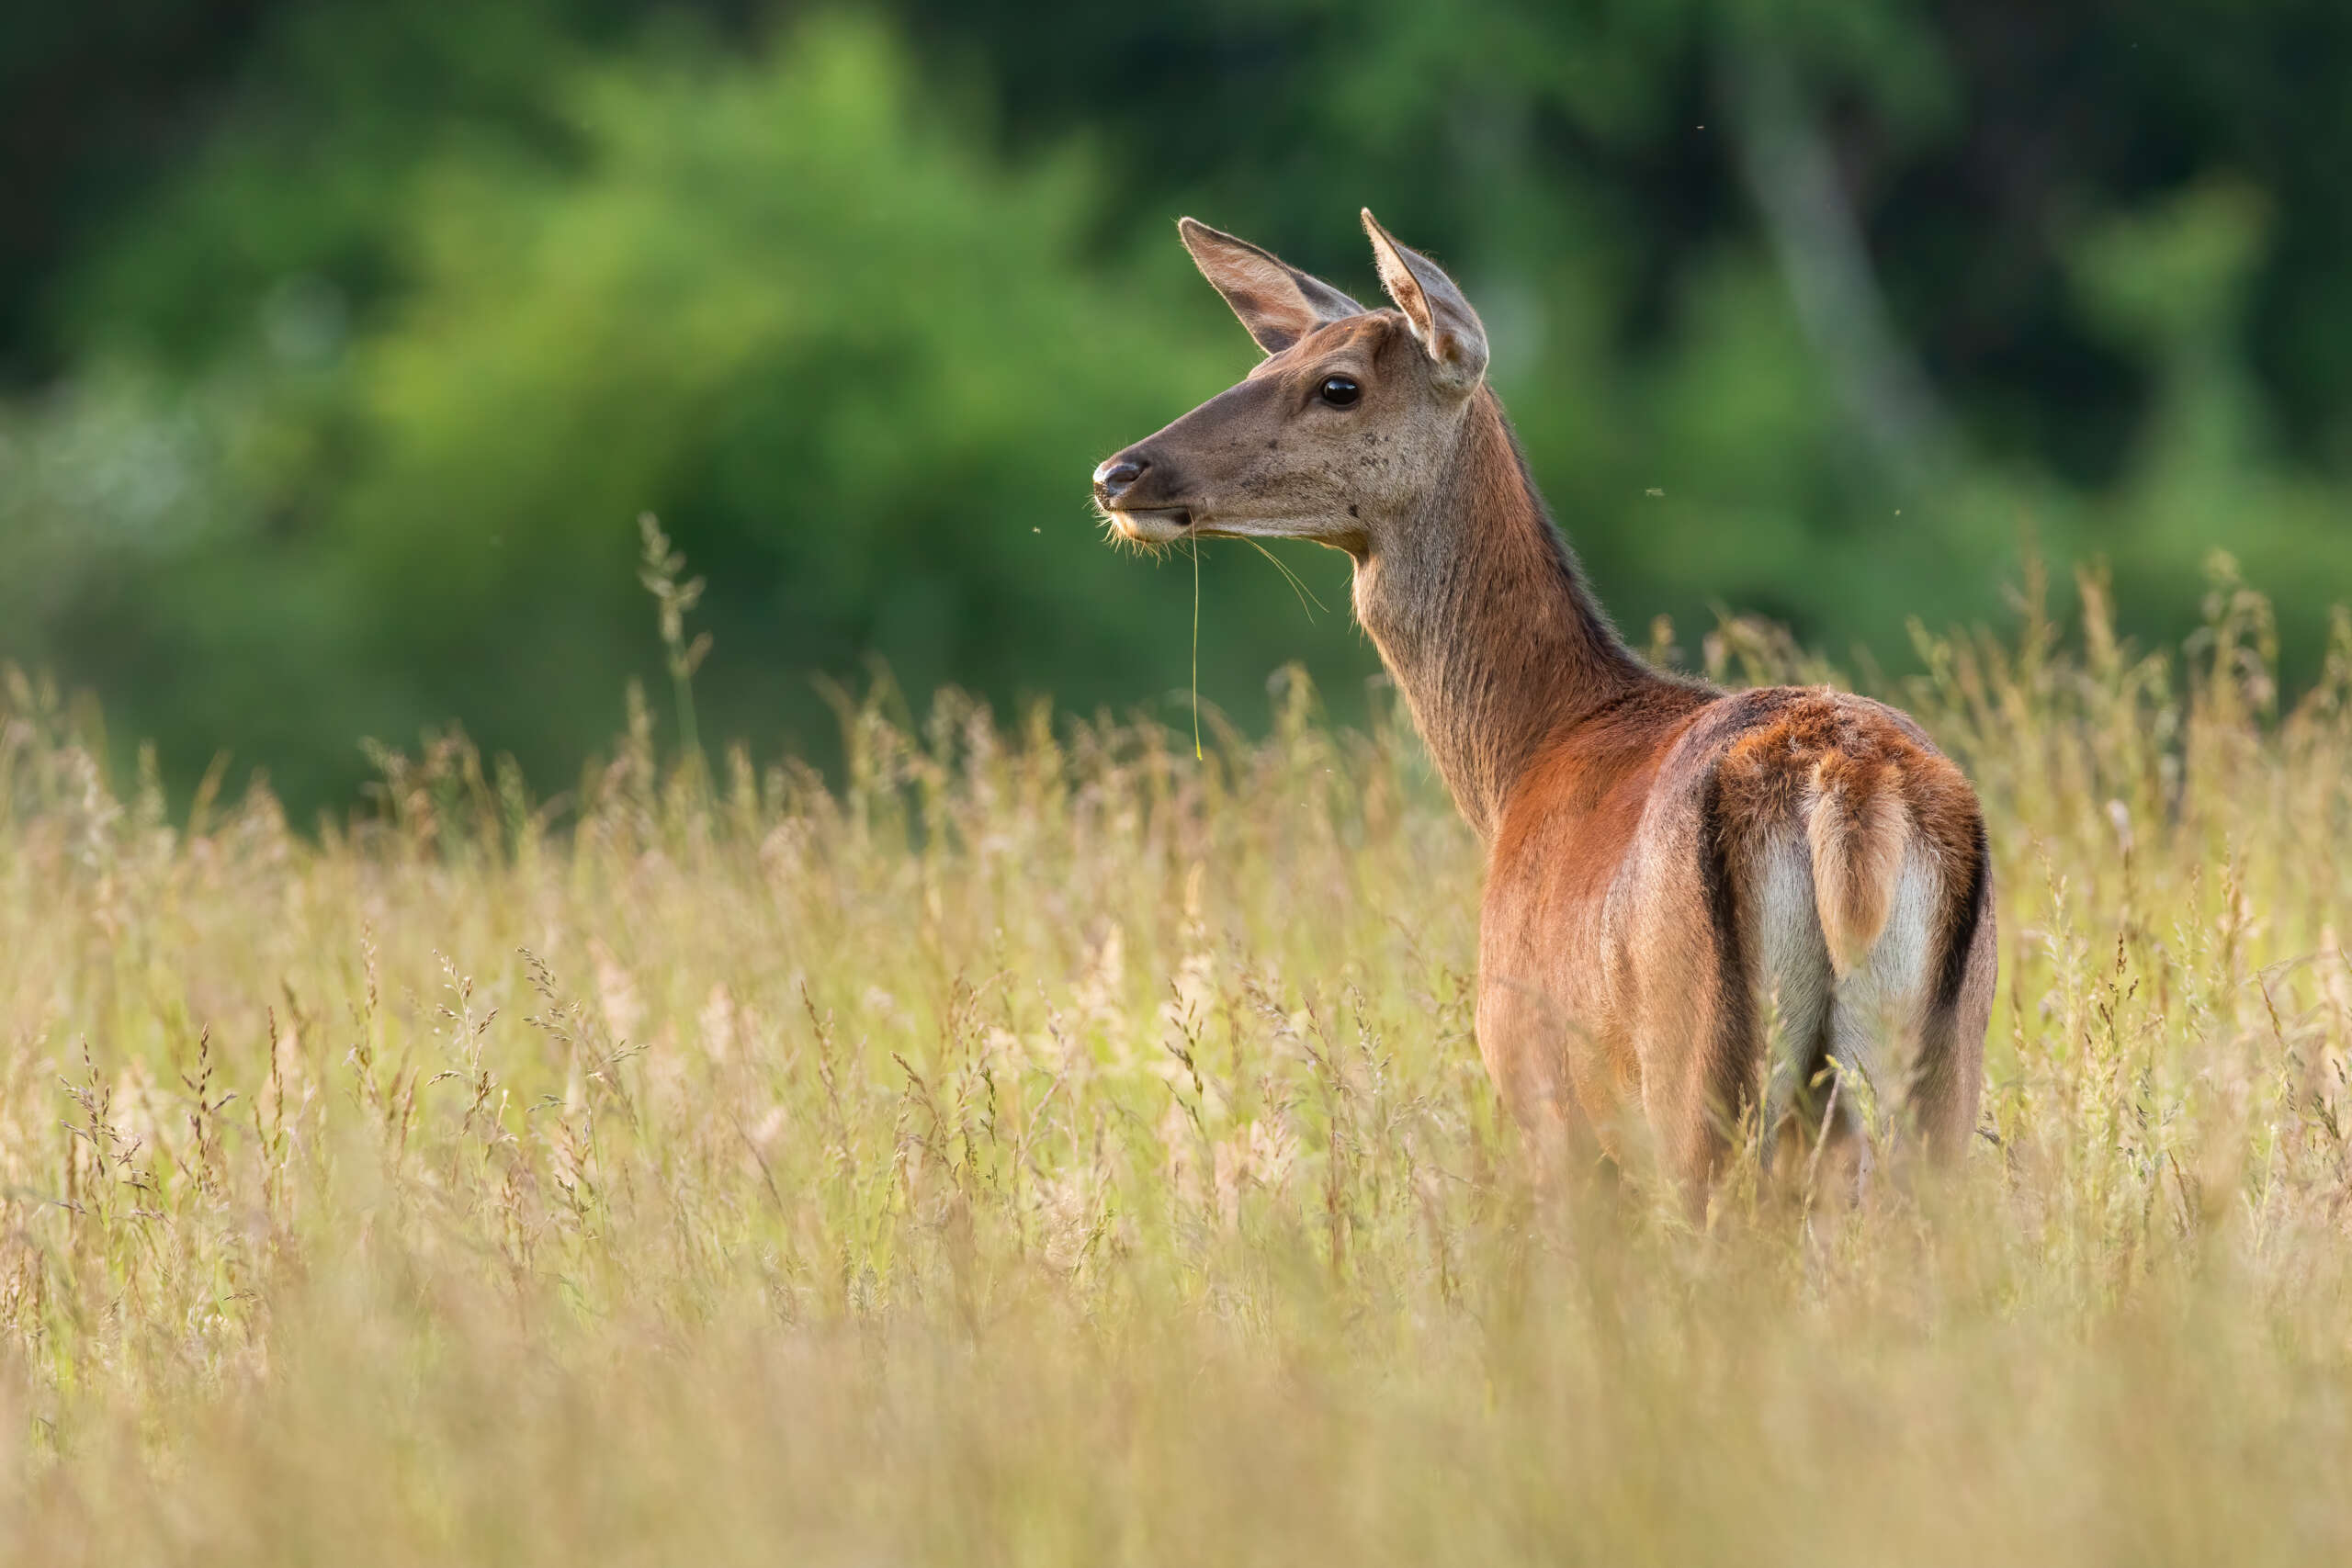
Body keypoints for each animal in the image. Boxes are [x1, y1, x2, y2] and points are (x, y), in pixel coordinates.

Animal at [1091, 202, 1994, 1194]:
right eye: (1258, 368)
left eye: (1337, 386)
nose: (1120, 473)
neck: (1526, 758)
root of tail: (1850, 789)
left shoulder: (1541, 1091)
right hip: (1941, 1069)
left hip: (1694, 1079)